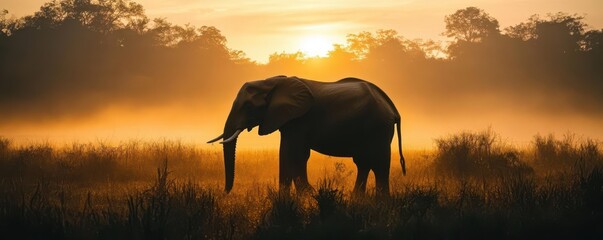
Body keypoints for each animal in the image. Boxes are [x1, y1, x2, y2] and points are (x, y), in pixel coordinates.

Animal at [208, 76, 406, 196]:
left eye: (248, 106)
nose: (224, 193)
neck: (272, 81)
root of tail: (392, 107)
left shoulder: (299, 120)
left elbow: (292, 153)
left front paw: (306, 195)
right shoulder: (289, 121)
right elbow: (290, 155)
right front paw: (296, 198)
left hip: (378, 128)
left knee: (379, 164)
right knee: (363, 163)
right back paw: (357, 199)